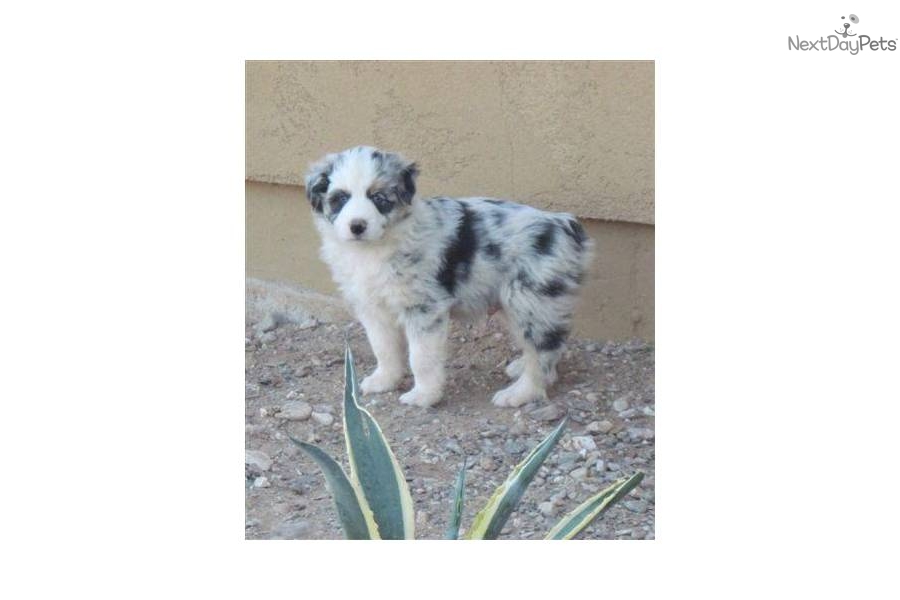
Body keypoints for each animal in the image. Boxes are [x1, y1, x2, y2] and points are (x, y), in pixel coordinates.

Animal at [306, 146, 596, 408]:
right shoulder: (372, 307)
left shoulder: (424, 308)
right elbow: (383, 348)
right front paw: (384, 381)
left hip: (532, 302)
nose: (357, 226)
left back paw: (520, 393)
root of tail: (566, 224)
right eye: (340, 198)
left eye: (378, 198)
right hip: (517, 305)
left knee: (545, 351)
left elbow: (421, 357)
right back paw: (521, 367)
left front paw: (423, 396)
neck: (372, 250)